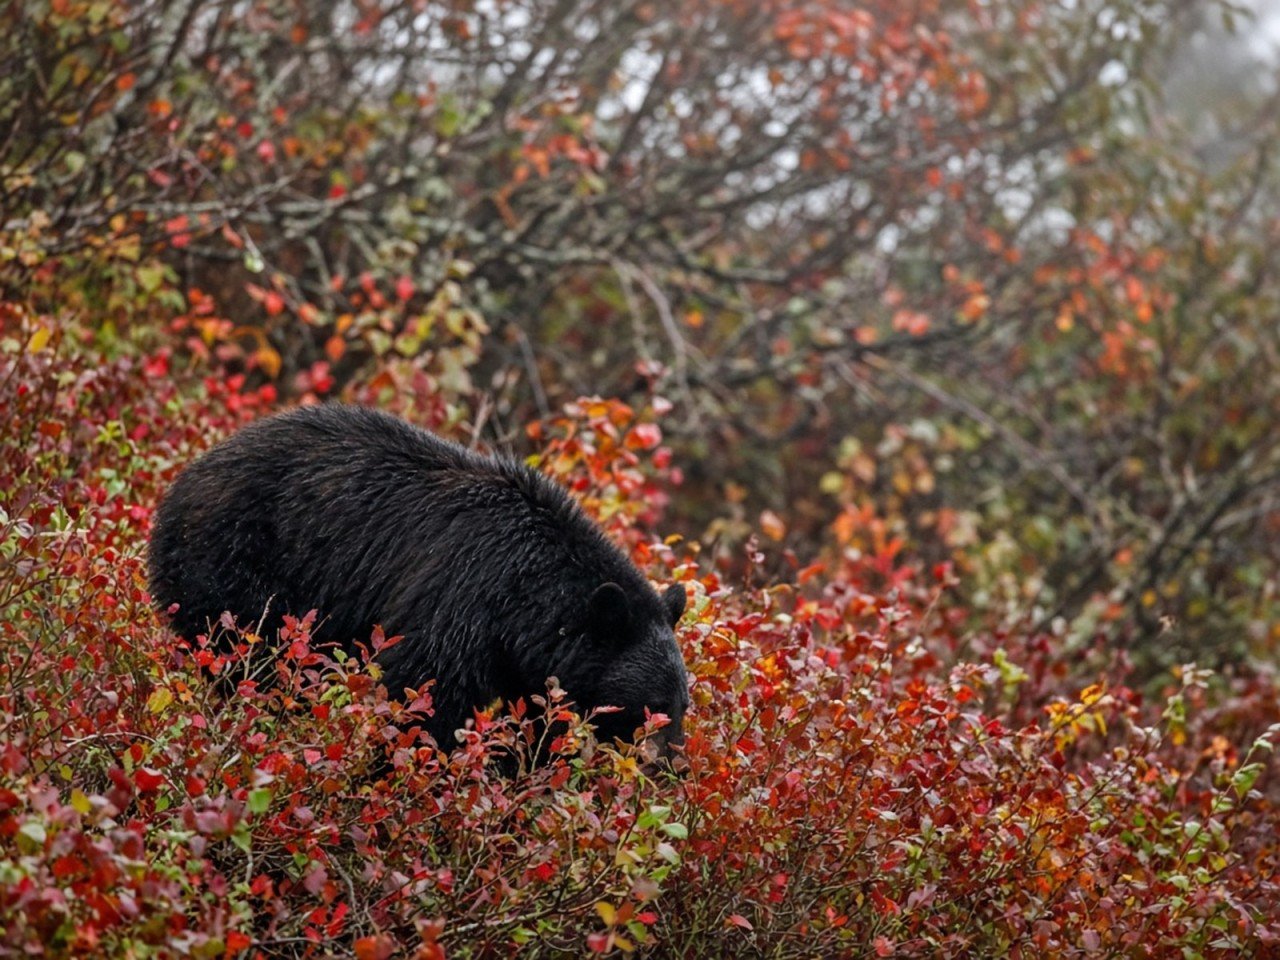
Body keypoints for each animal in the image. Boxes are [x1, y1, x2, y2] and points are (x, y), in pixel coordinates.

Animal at [147, 404, 689, 759]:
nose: (673, 766)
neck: (528, 601)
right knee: (255, 656)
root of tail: (188, 474)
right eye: (652, 708)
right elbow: (421, 691)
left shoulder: (528, 664)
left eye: (683, 705)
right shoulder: (465, 597)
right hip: (239, 566)